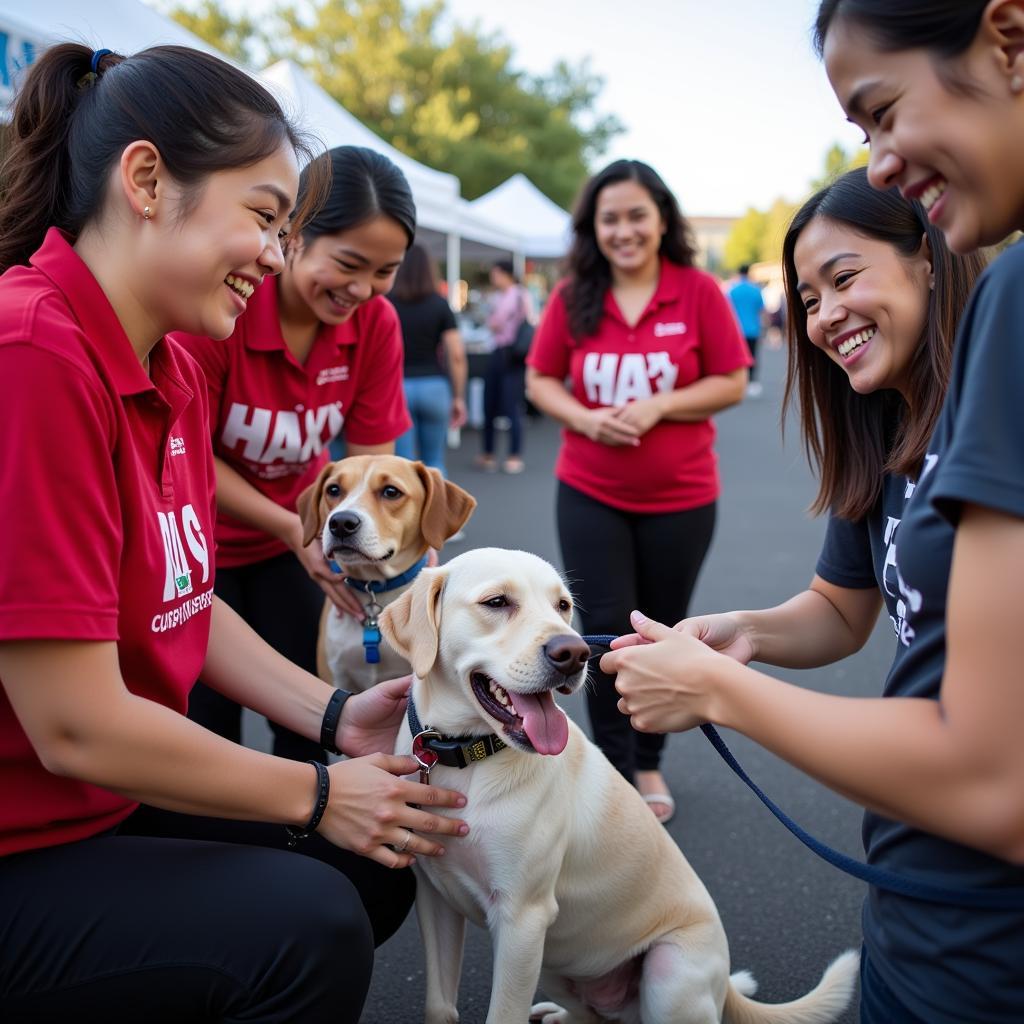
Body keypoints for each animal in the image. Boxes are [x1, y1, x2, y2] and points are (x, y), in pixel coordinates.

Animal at [380, 548, 860, 1024]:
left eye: (563, 606)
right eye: (496, 602)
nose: (573, 652)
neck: (466, 759)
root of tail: (723, 984)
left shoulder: (522, 918)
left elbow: (503, 1014)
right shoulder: (437, 898)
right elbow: (439, 1004)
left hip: (667, 973)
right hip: (552, 961)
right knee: (591, 1015)